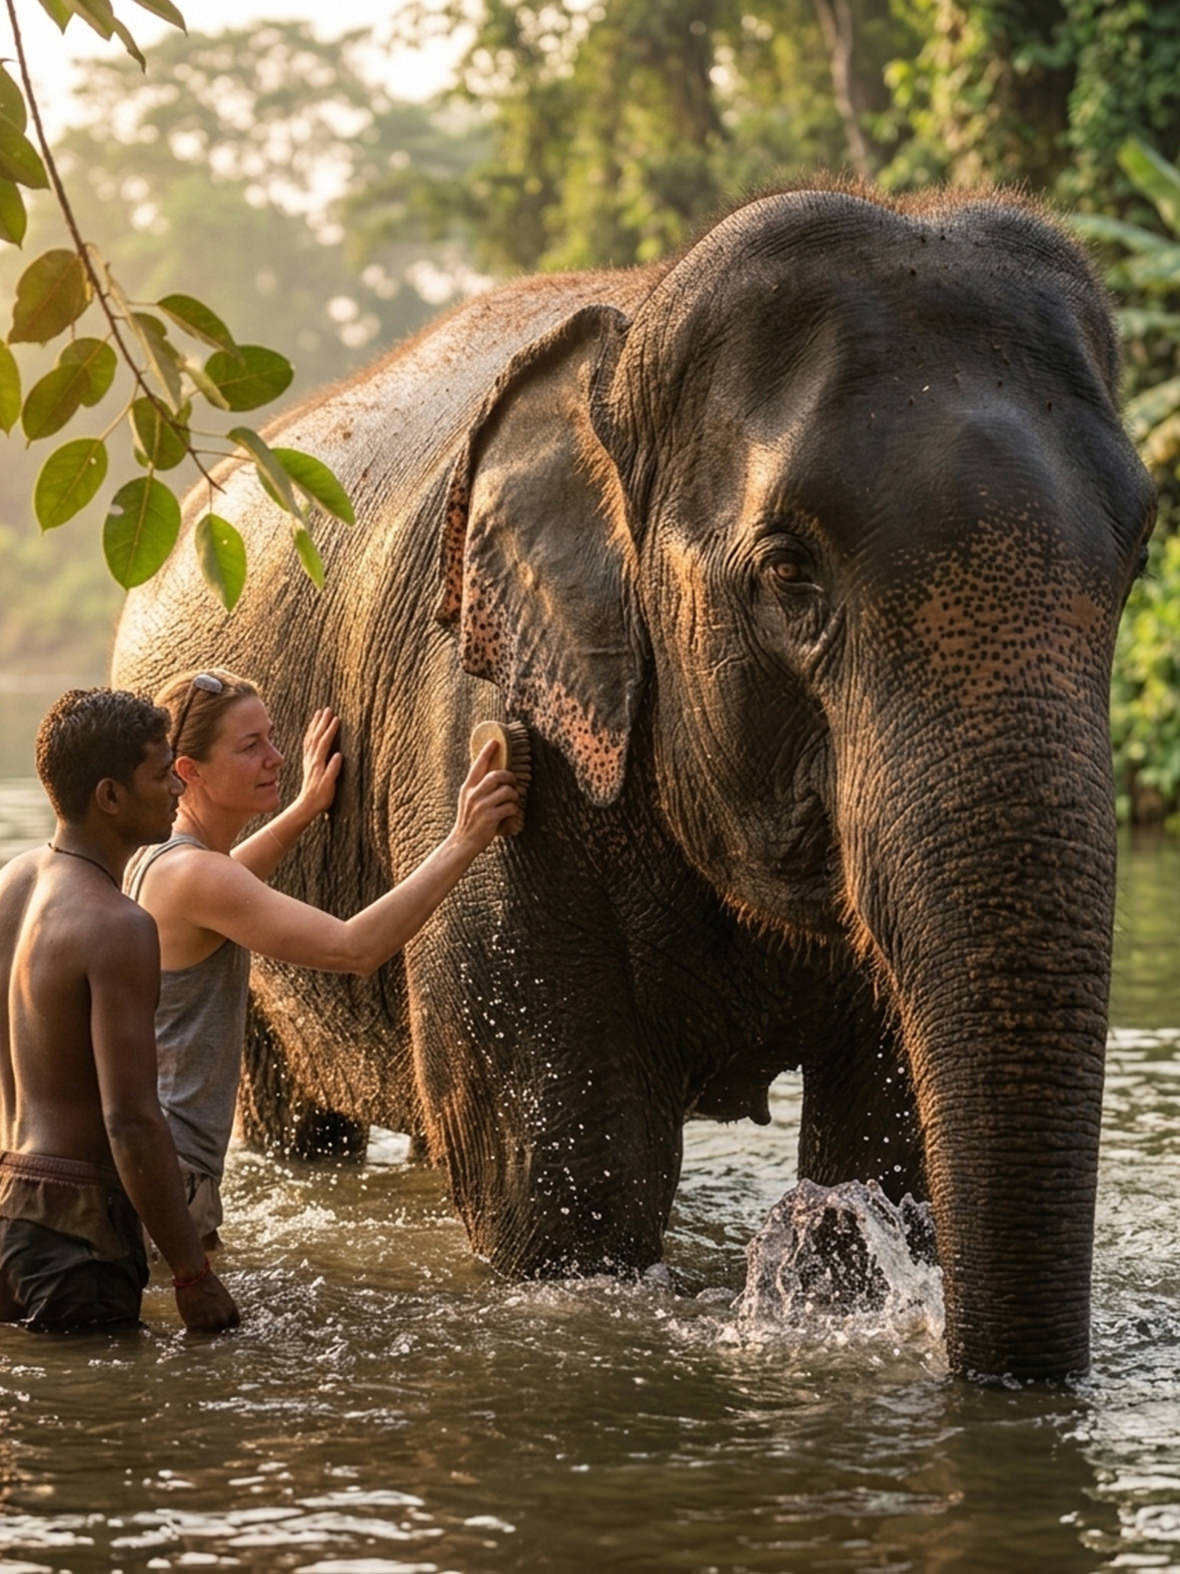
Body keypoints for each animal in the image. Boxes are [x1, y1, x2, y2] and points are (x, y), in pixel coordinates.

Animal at [112, 182, 1156, 1383]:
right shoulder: (488, 721)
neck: (637, 332)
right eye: (788, 568)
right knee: (297, 1117)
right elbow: (566, 1184)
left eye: (1139, 552)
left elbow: (883, 1142)